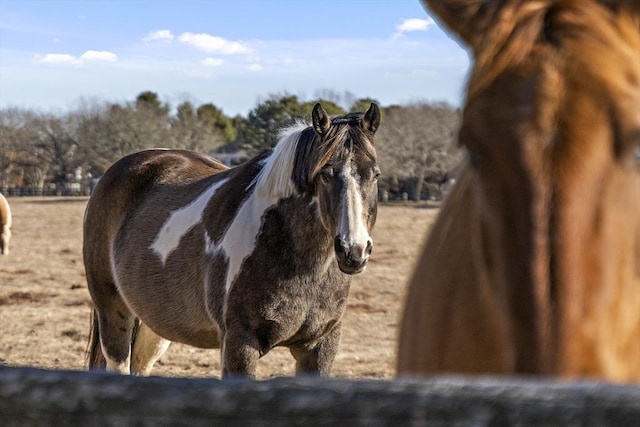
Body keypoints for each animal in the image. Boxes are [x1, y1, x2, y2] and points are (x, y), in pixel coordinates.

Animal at [84, 103, 380, 378]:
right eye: (325, 174)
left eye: (375, 174)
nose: (354, 250)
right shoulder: (240, 344)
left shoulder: (320, 346)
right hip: (114, 312)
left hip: (155, 322)